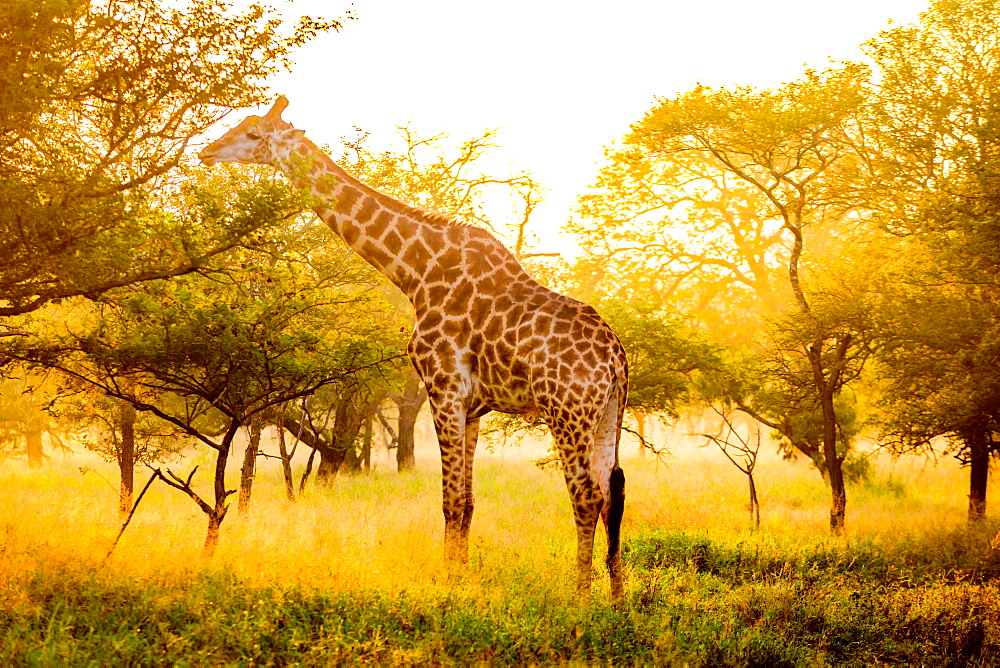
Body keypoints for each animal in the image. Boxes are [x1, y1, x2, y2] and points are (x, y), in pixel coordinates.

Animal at [199, 95, 628, 600]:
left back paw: (581, 593)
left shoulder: (444, 389)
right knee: (613, 492)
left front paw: (448, 582)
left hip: (566, 411)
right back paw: (616, 594)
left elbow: (450, 500)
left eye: (252, 134)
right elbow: (468, 501)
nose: (207, 152)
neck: (413, 271)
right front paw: (461, 575)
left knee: (585, 494)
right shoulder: (472, 406)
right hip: (607, 413)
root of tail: (617, 358)